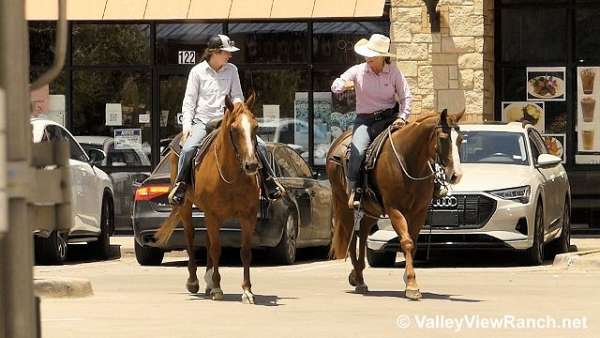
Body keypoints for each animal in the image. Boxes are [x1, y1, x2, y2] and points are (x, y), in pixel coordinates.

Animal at [155, 94, 260, 304]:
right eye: (234, 129)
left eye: (256, 127)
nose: (251, 165)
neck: (231, 176)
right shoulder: (213, 214)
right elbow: (216, 248)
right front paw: (218, 287)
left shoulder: (248, 216)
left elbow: (245, 251)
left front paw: (247, 291)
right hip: (186, 207)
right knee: (191, 237)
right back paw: (194, 281)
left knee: (208, 241)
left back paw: (208, 282)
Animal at [328, 109, 464, 300]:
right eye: (444, 138)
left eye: (460, 139)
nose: (456, 175)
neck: (408, 160)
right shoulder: (394, 209)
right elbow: (406, 242)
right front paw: (412, 285)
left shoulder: (419, 211)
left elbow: (413, 244)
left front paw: (408, 279)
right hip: (345, 205)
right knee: (352, 236)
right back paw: (359, 279)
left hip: (372, 208)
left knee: (363, 231)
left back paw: (358, 276)